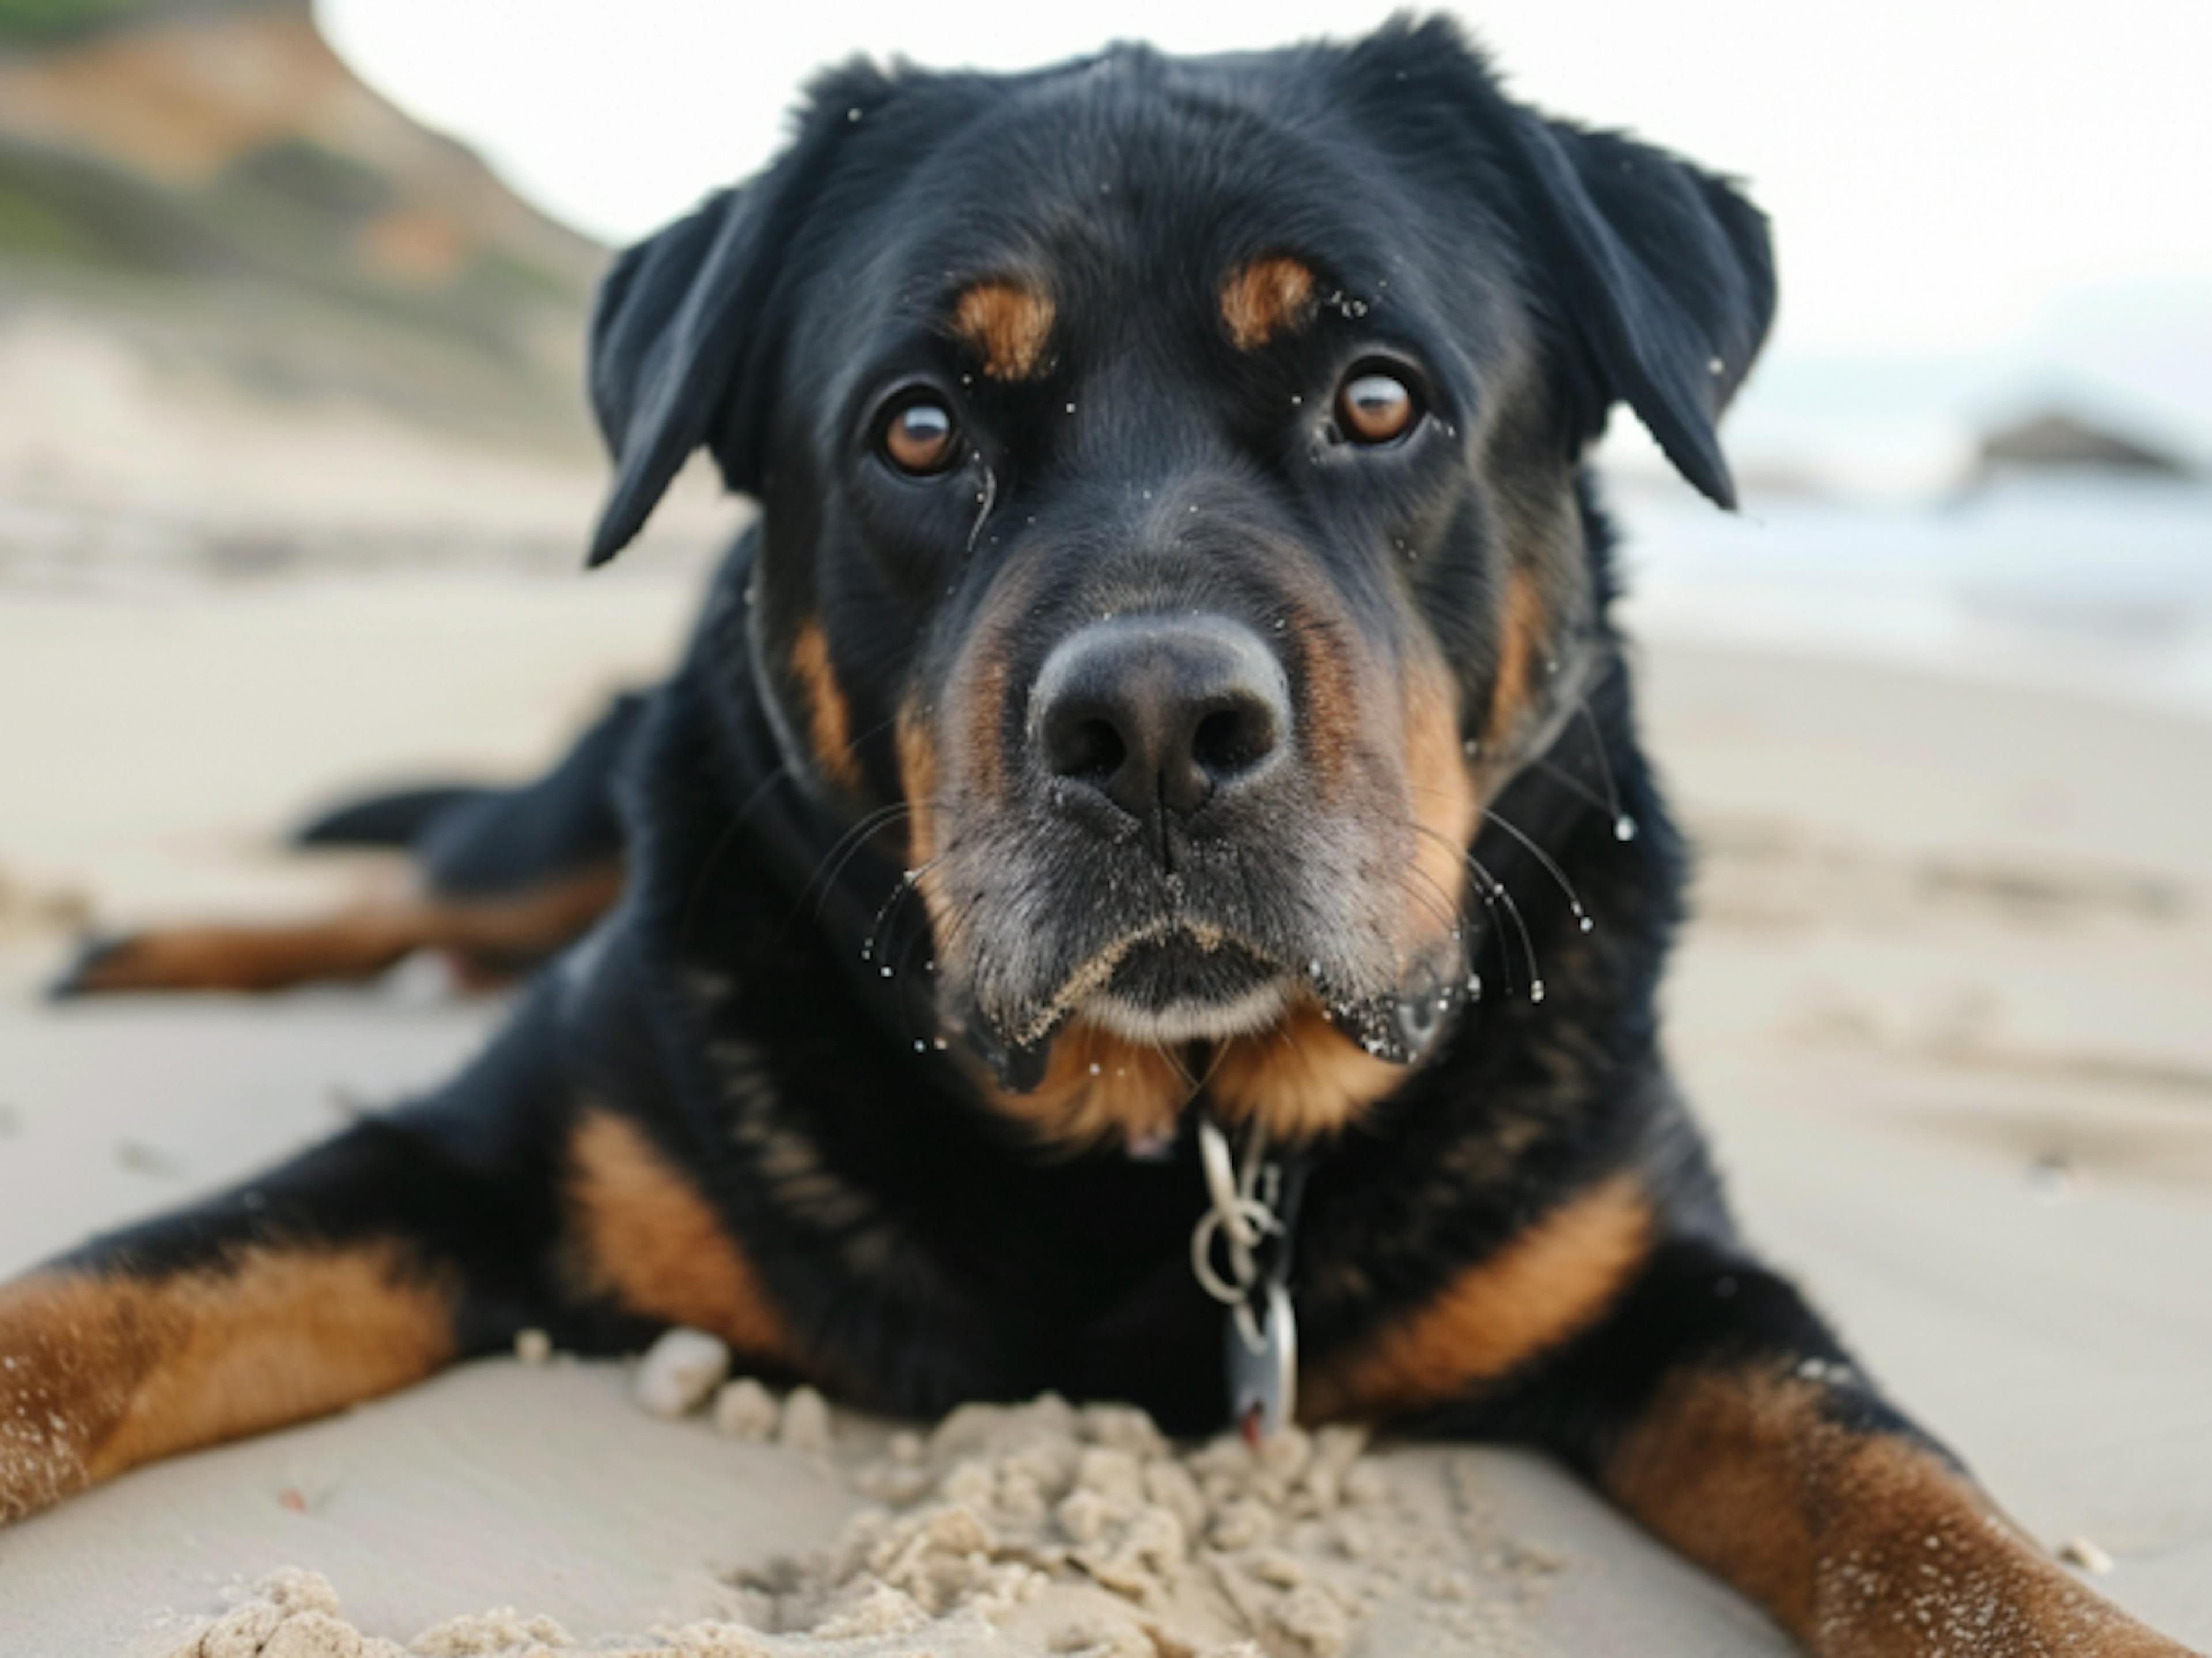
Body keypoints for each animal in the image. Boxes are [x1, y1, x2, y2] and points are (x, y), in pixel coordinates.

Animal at [4, 22, 2194, 1658]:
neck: (1173, 1129)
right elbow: (107, 1297)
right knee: (426, 878)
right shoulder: (483, 1153)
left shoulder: (1673, 1276)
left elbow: (1914, 1500)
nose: (1152, 727)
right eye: (916, 427)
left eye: (1376, 395)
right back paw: (150, 944)